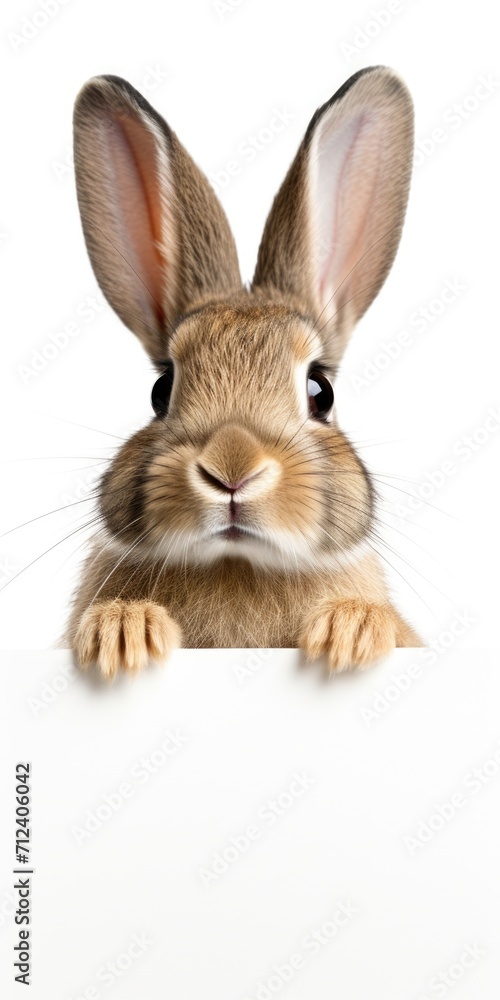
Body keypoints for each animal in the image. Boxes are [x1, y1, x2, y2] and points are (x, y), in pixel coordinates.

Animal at [67, 65, 422, 679]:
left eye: (320, 390)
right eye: (161, 389)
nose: (232, 469)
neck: (237, 565)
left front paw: (351, 630)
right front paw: (123, 630)